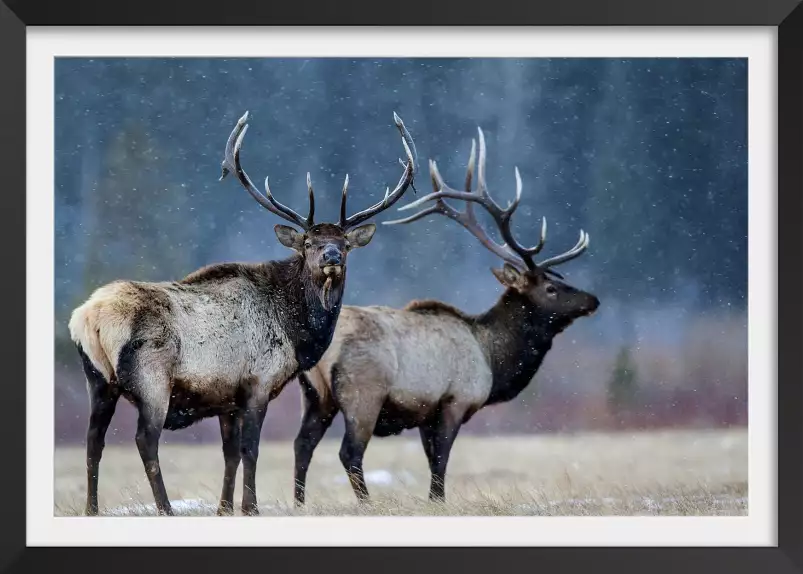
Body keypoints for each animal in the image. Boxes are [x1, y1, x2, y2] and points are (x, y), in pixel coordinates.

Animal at [68, 109, 418, 516]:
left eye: (344, 243)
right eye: (309, 243)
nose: (332, 256)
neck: (295, 330)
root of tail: (88, 318)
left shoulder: (226, 398)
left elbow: (230, 454)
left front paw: (224, 508)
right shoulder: (258, 383)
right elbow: (251, 450)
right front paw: (250, 507)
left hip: (97, 379)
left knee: (93, 441)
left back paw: (92, 509)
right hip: (152, 378)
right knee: (144, 440)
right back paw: (166, 508)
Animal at [292, 125, 600, 504]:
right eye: (551, 288)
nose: (592, 300)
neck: (491, 357)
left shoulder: (427, 413)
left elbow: (431, 462)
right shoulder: (454, 401)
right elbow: (440, 465)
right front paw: (436, 500)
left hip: (314, 395)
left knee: (302, 445)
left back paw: (300, 503)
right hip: (363, 392)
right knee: (349, 452)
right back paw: (365, 502)